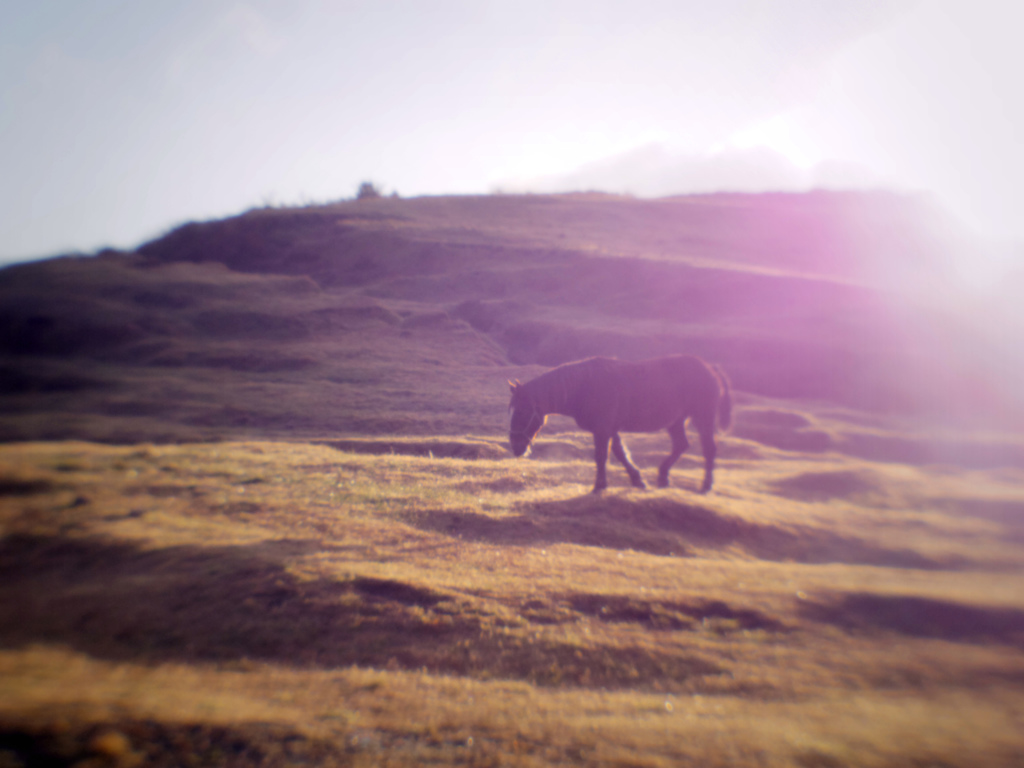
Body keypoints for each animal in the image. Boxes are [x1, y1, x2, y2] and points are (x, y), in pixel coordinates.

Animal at [507, 354, 733, 493]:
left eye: (522, 411)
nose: (516, 448)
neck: (584, 387)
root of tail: (710, 368)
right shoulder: (610, 429)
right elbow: (620, 453)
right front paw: (637, 480)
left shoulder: (602, 430)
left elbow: (601, 456)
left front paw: (599, 486)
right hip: (676, 421)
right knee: (681, 445)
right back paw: (663, 477)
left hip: (702, 417)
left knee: (709, 449)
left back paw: (705, 486)